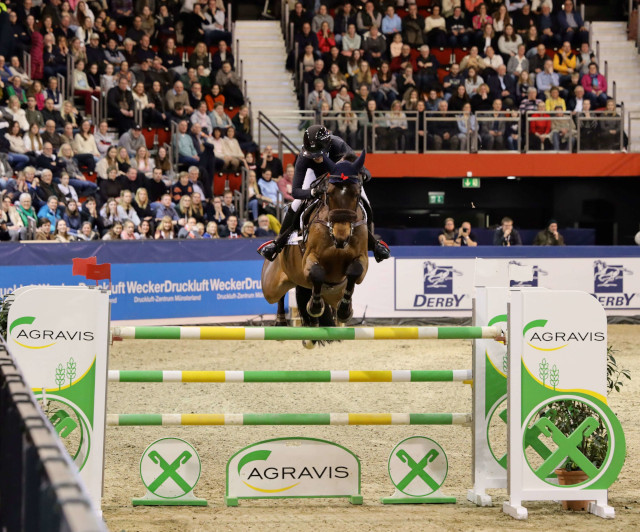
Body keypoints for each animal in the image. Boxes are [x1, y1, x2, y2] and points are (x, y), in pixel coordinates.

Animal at [262, 150, 370, 334]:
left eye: (356, 194)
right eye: (330, 193)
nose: (341, 236)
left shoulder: (362, 259)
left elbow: (355, 271)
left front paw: (344, 310)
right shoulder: (309, 257)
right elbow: (317, 272)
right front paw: (315, 306)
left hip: (332, 294)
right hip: (271, 286)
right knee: (278, 295)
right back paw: (281, 321)